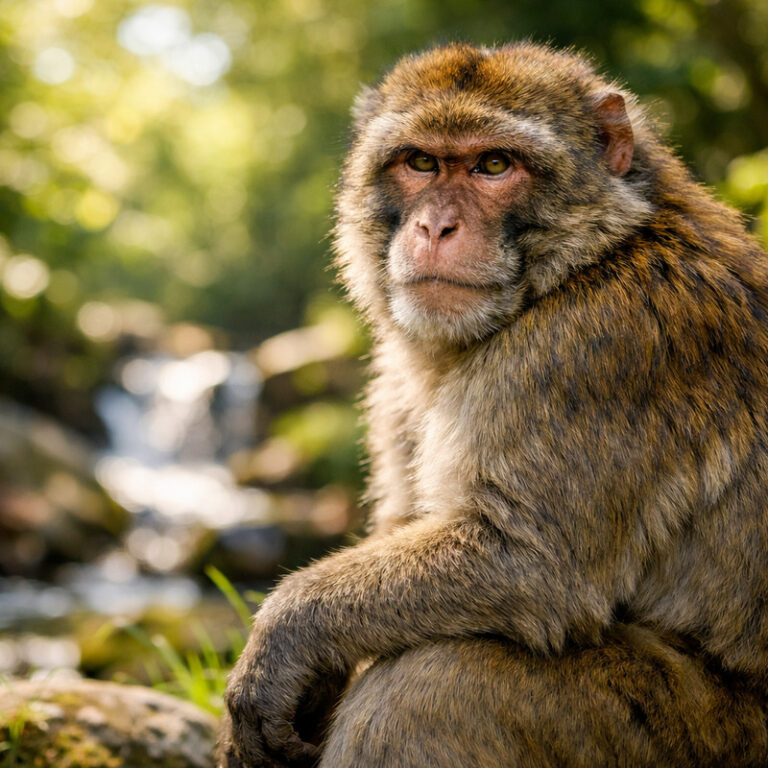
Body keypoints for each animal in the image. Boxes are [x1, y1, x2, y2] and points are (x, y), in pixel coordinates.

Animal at [218, 42, 768, 768]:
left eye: (494, 165)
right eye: (421, 163)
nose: (435, 225)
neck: (582, 266)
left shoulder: (593, 352)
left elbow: (527, 558)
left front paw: (286, 634)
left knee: (433, 687)